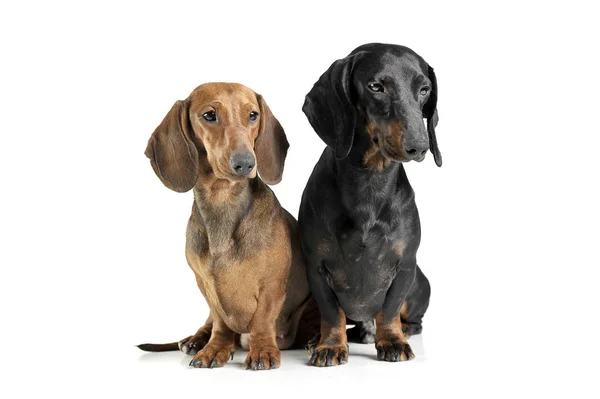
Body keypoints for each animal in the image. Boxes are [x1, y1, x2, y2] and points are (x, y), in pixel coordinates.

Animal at [139, 82, 318, 372]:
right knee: (209, 323)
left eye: (253, 115)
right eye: (209, 115)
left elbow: (262, 319)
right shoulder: (206, 285)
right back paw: (195, 339)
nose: (245, 163)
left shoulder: (272, 285)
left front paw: (262, 349)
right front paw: (215, 348)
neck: (222, 201)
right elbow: (220, 322)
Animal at [300, 43, 440, 366]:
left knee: (411, 320)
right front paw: (330, 345)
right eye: (376, 87)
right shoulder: (316, 267)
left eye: (424, 89)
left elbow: (389, 311)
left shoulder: (405, 266)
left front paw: (392, 341)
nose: (420, 146)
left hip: (420, 283)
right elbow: (331, 313)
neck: (370, 181)